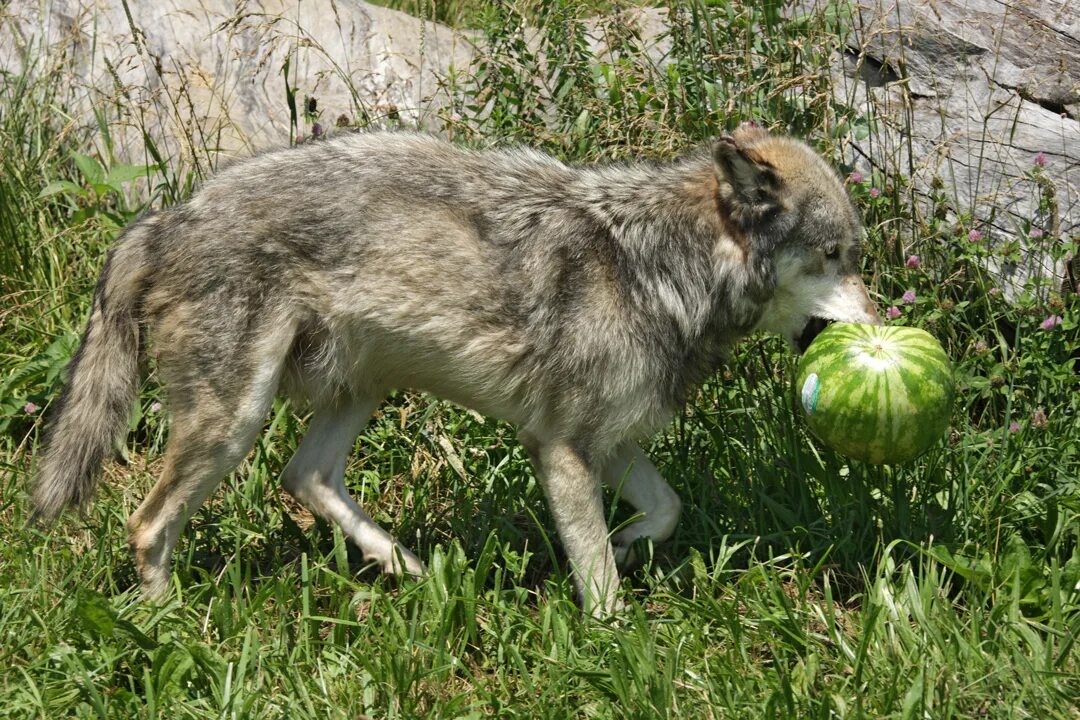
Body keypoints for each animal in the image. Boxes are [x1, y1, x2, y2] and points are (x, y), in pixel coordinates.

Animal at [31, 122, 876, 613]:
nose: (880, 328)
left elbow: (662, 512)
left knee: (303, 477)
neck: (659, 266)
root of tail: (165, 218)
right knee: (149, 525)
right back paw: (169, 628)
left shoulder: (607, 443)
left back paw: (410, 569)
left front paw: (632, 545)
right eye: (835, 256)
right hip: (234, 423)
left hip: (357, 390)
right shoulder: (560, 449)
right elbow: (601, 583)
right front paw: (616, 641)